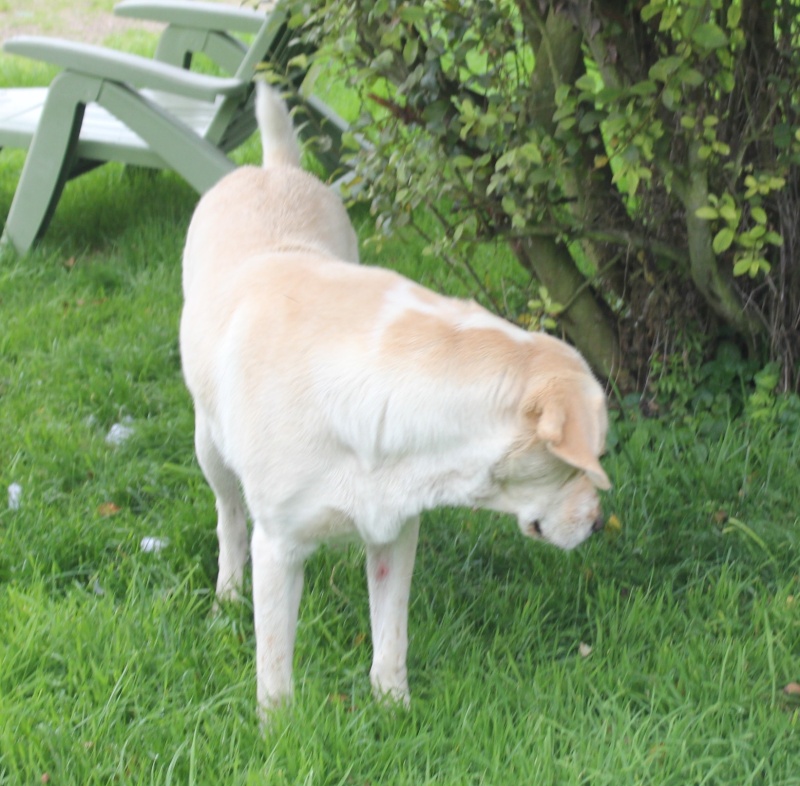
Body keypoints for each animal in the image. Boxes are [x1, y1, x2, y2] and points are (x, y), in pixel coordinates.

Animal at [178, 82, 608, 712]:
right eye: (586, 463)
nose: (600, 526)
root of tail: (271, 167)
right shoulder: (278, 548)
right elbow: (275, 662)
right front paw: (277, 726)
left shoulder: (396, 532)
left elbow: (391, 633)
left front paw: (393, 707)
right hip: (209, 446)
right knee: (228, 518)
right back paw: (228, 594)